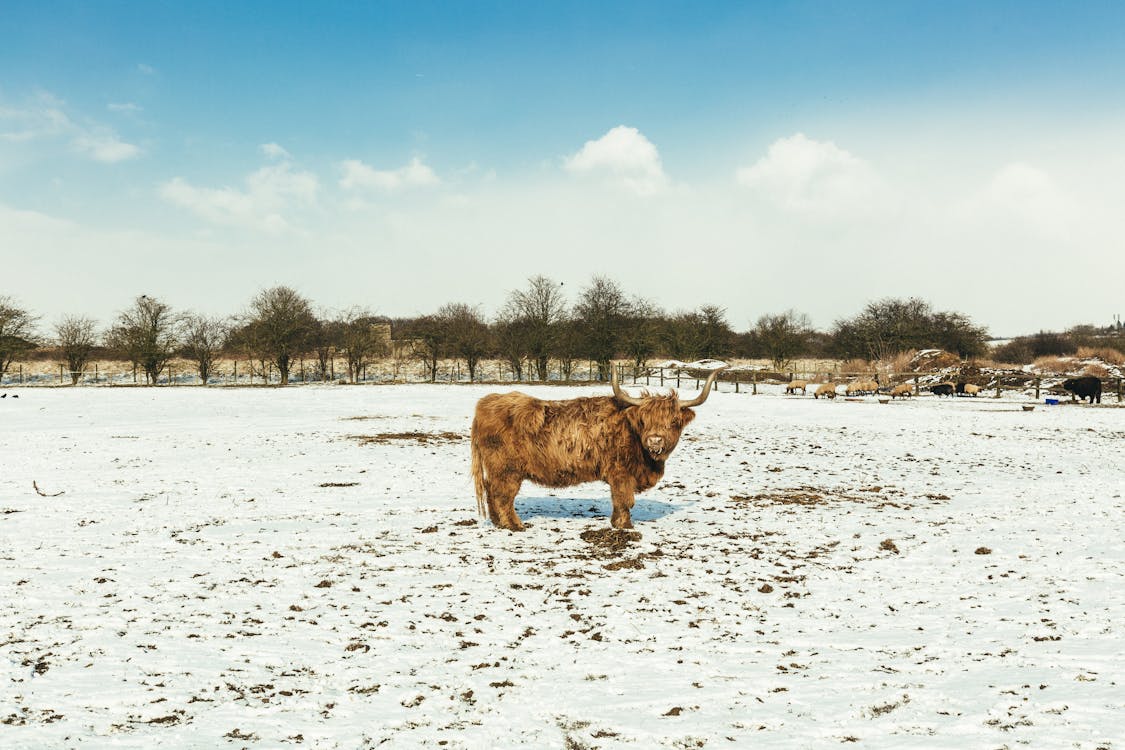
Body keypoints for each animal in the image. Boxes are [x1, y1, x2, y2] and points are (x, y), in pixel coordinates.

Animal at [468, 366, 724, 530]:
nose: (655, 441)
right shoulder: (621, 473)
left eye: (674, 422)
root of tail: (486, 403)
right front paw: (625, 526)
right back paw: (515, 525)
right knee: (502, 495)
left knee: (491, 491)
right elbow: (625, 500)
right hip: (507, 470)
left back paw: (498, 523)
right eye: (644, 420)